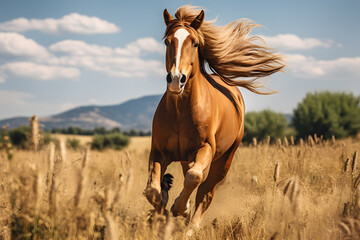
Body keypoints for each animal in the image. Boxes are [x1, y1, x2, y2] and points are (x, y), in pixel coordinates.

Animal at [144, 5, 284, 227]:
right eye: (167, 41)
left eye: (194, 43)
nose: (176, 79)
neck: (180, 112)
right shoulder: (158, 151)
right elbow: (152, 191)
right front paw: (164, 214)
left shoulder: (206, 148)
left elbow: (194, 178)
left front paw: (178, 209)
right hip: (187, 157)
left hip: (224, 160)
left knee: (205, 192)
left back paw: (192, 226)